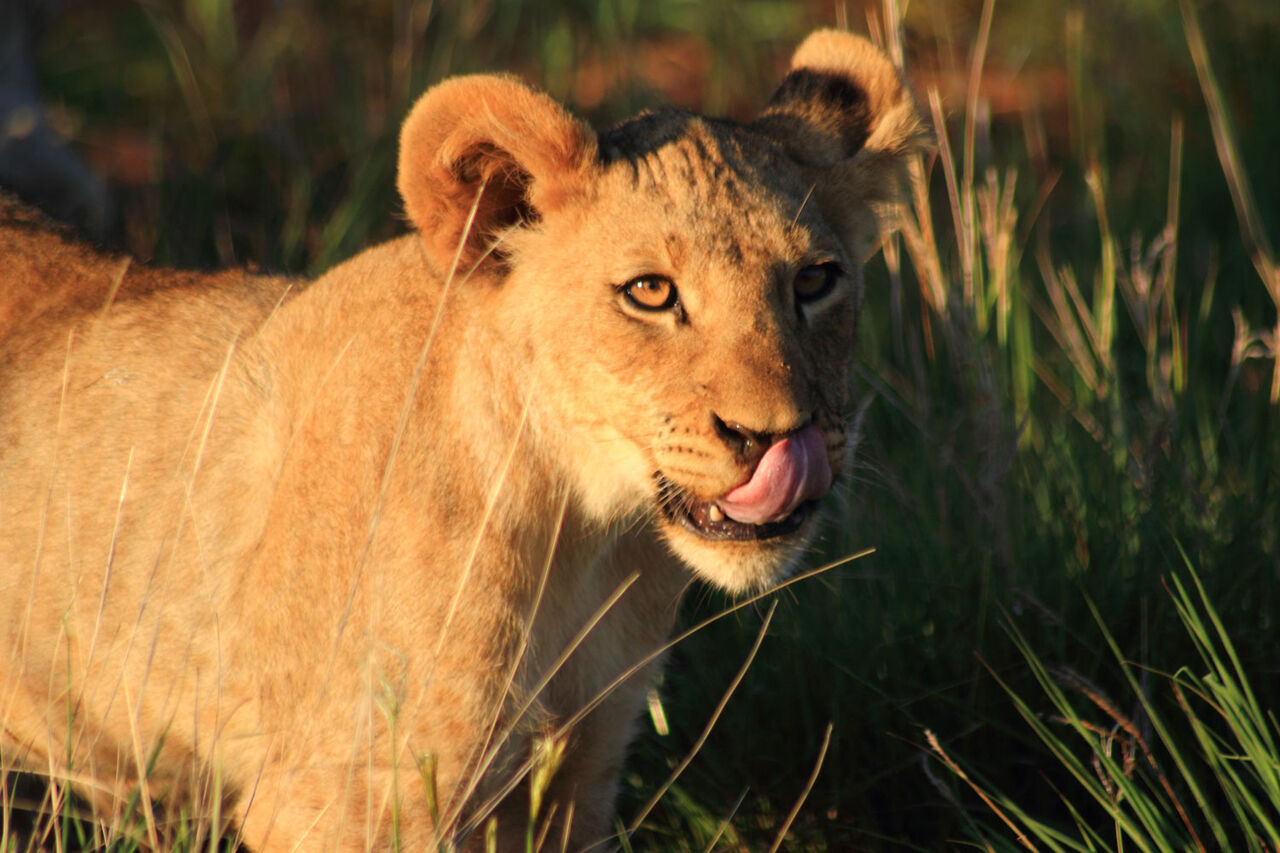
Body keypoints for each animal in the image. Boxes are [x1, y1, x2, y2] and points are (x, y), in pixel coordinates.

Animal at [0, 29, 924, 851]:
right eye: (651, 292)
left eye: (814, 282)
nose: (778, 435)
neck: (581, 536)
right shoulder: (343, 804)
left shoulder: (573, 778)